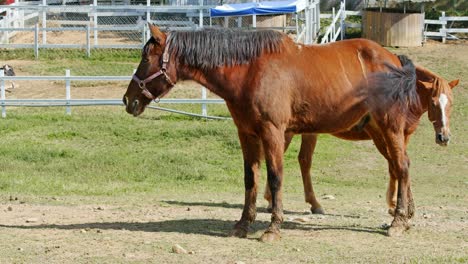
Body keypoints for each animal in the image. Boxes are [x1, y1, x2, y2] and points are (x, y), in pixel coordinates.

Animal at [123, 24, 420, 241]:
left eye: (145, 58)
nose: (128, 100)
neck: (251, 70)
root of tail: (394, 59)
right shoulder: (246, 134)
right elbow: (250, 179)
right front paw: (243, 224)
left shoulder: (273, 132)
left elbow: (275, 177)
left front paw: (273, 228)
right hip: (379, 131)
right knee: (400, 165)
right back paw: (405, 217)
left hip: (389, 127)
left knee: (402, 166)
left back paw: (397, 222)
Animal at [266, 65, 458, 217]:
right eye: (433, 103)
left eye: (451, 104)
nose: (444, 137)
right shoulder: (380, 134)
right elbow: (394, 165)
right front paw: (394, 204)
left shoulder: (402, 136)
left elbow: (399, 165)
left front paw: (403, 205)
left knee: (303, 160)